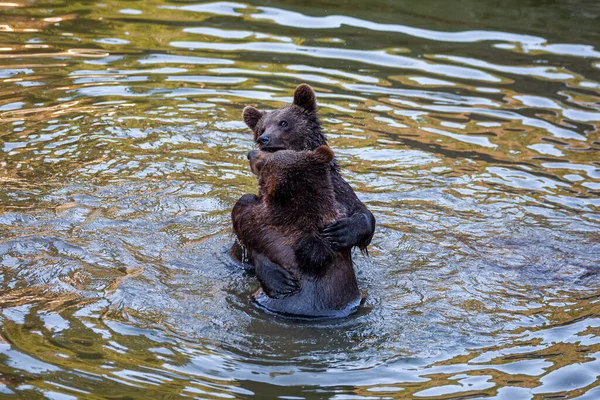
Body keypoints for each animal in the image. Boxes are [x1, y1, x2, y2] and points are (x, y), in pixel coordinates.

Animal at [231, 83, 376, 318]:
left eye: (284, 122)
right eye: (261, 128)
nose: (264, 139)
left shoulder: (340, 191)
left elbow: (362, 214)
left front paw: (342, 232)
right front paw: (279, 278)